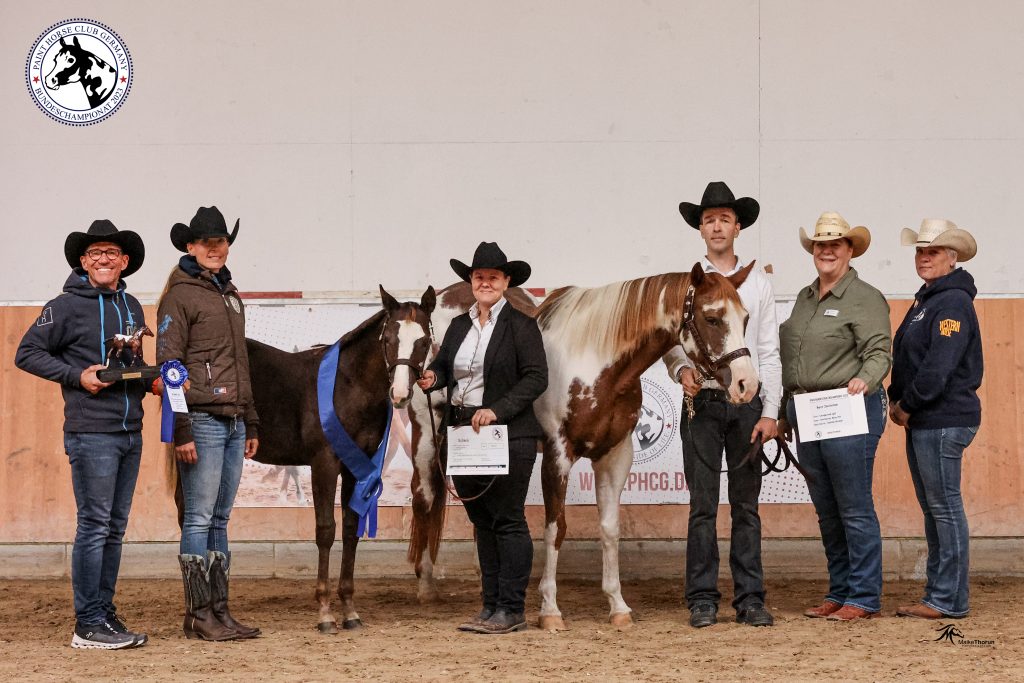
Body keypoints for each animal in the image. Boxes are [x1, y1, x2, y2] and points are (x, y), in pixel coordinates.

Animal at [173, 285, 435, 633]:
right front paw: (324, 612)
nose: (400, 394)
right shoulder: (324, 464)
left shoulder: (356, 468)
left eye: (424, 341)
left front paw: (349, 610)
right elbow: (325, 530)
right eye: (389, 338)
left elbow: (350, 529)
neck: (348, 386)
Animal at [404, 264, 758, 629]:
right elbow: (556, 528)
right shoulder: (558, 455)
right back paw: (426, 586)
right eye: (712, 318)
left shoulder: (615, 455)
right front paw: (550, 610)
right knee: (424, 497)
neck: (595, 360)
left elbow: (610, 529)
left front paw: (618, 606)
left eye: (745, 317)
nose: (746, 384)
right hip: (427, 435)